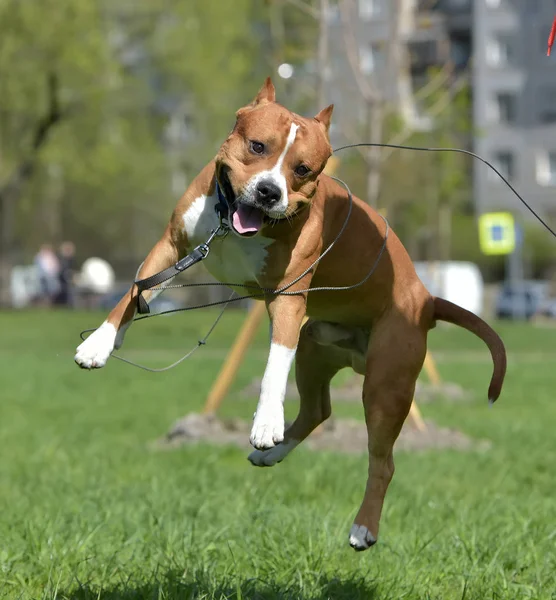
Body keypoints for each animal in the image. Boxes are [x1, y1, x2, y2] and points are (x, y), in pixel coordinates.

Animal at [76, 79, 506, 552]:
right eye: (257, 146)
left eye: (303, 169)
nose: (269, 191)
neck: (229, 224)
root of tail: (427, 299)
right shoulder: (171, 246)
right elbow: (133, 291)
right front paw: (100, 342)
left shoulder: (287, 301)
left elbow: (273, 364)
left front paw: (266, 422)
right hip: (317, 350)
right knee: (318, 410)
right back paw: (273, 455)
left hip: (385, 384)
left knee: (382, 460)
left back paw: (363, 527)